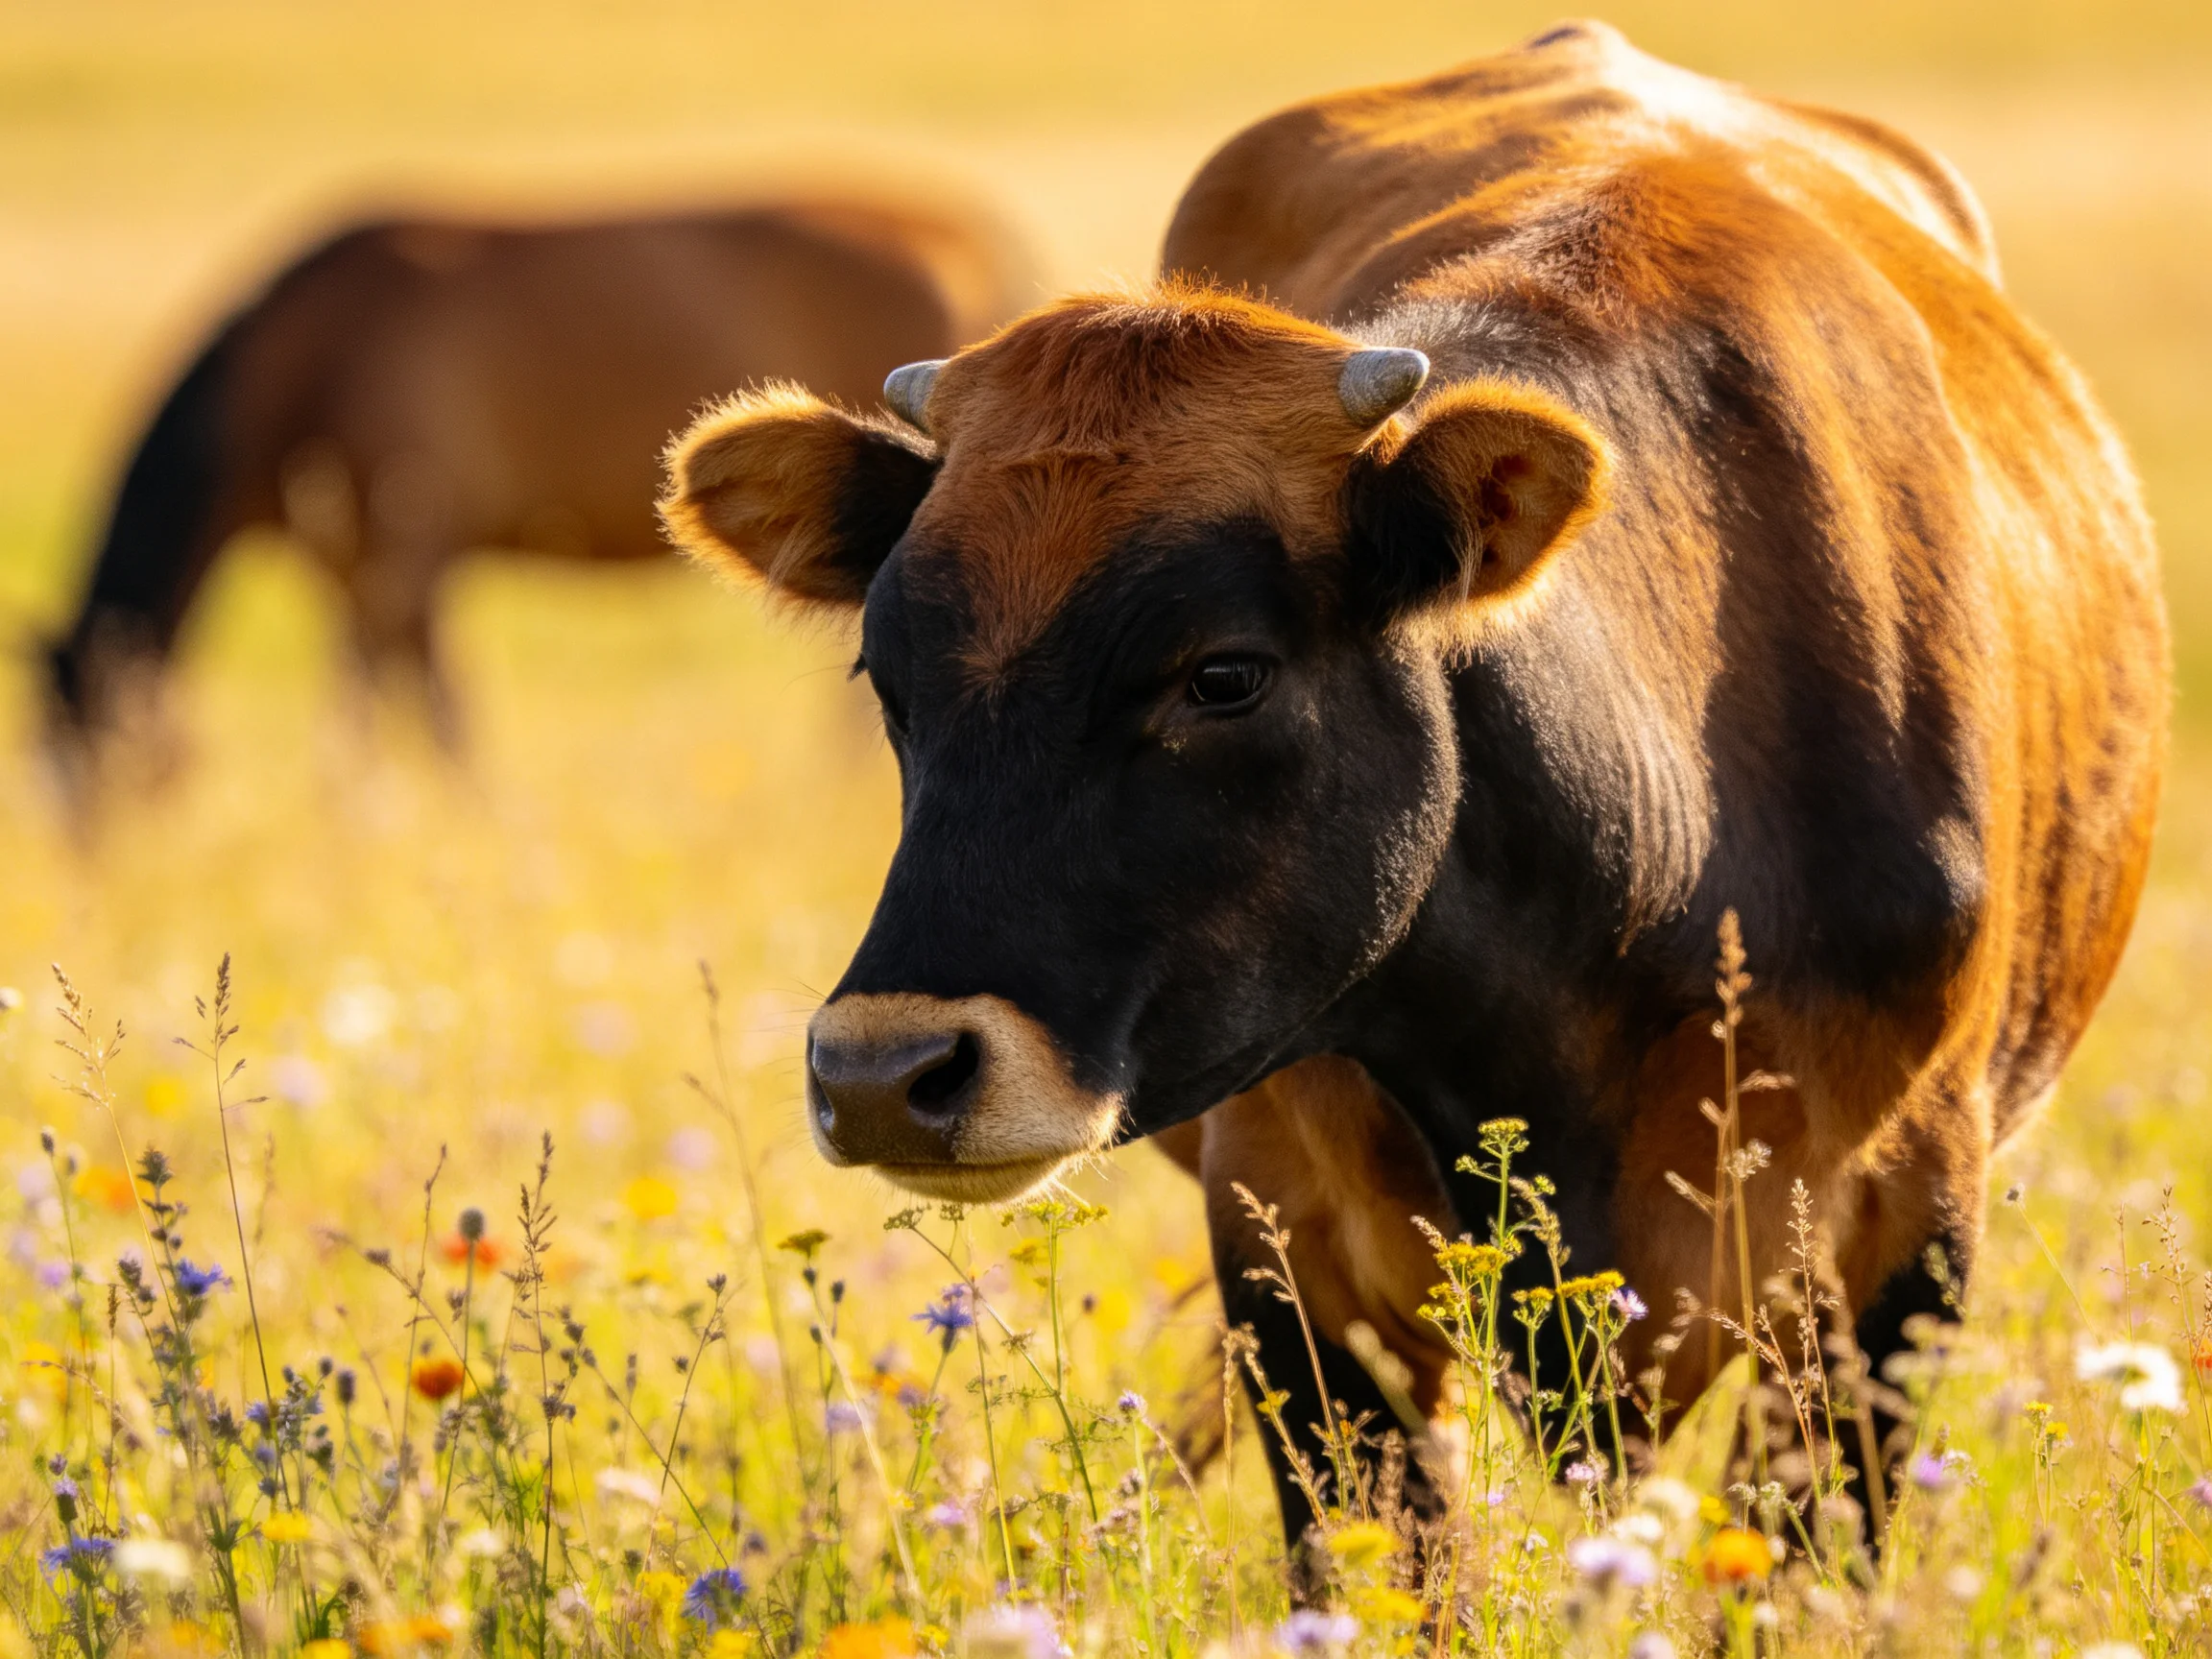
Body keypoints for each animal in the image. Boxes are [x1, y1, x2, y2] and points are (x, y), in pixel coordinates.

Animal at [47, 189, 1033, 773]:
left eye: (103, 755)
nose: (90, 868)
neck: (303, 361)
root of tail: (963, 224)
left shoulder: (406, 553)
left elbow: (432, 712)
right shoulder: (357, 567)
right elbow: (374, 705)